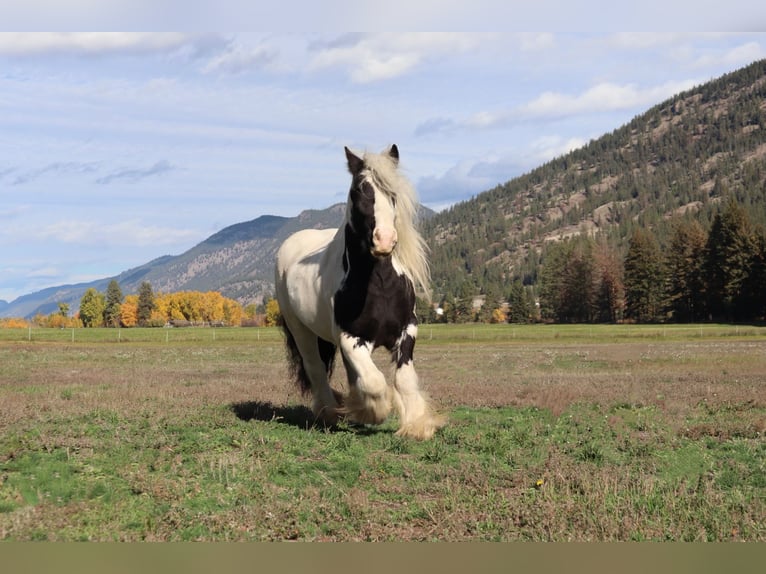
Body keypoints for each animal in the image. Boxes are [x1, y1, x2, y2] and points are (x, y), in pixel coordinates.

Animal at [274, 144, 444, 440]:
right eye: (358, 191)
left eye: (393, 194)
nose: (385, 240)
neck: (380, 284)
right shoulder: (350, 338)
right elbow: (375, 382)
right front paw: (373, 411)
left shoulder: (407, 330)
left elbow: (403, 379)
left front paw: (416, 424)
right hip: (300, 330)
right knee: (316, 368)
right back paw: (330, 413)